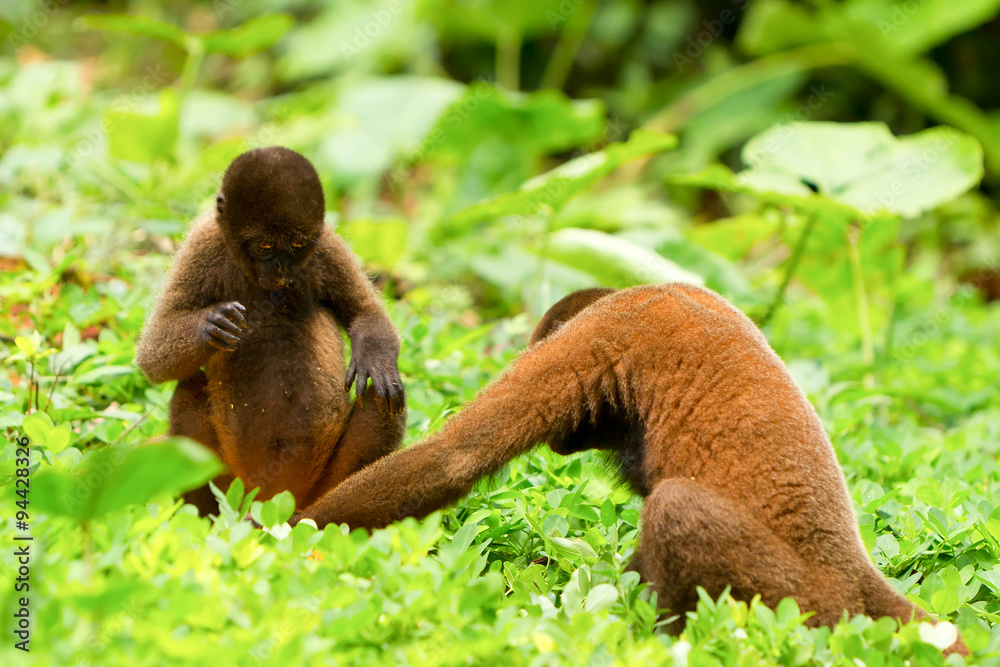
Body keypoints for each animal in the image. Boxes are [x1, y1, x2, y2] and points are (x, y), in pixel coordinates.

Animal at [135, 146, 406, 515]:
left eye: (296, 246)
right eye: (264, 247)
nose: (280, 268)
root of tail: (269, 497)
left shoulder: (327, 245)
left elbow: (366, 312)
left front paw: (375, 361)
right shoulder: (202, 245)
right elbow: (152, 355)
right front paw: (211, 326)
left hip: (318, 485)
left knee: (383, 398)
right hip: (230, 481)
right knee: (187, 389)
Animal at [291, 283, 967, 655]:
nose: (563, 443)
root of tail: (854, 576)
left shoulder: (595, 337)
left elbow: (456, 454)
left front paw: (290, 535)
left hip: (802, 604)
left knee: (674, 509)